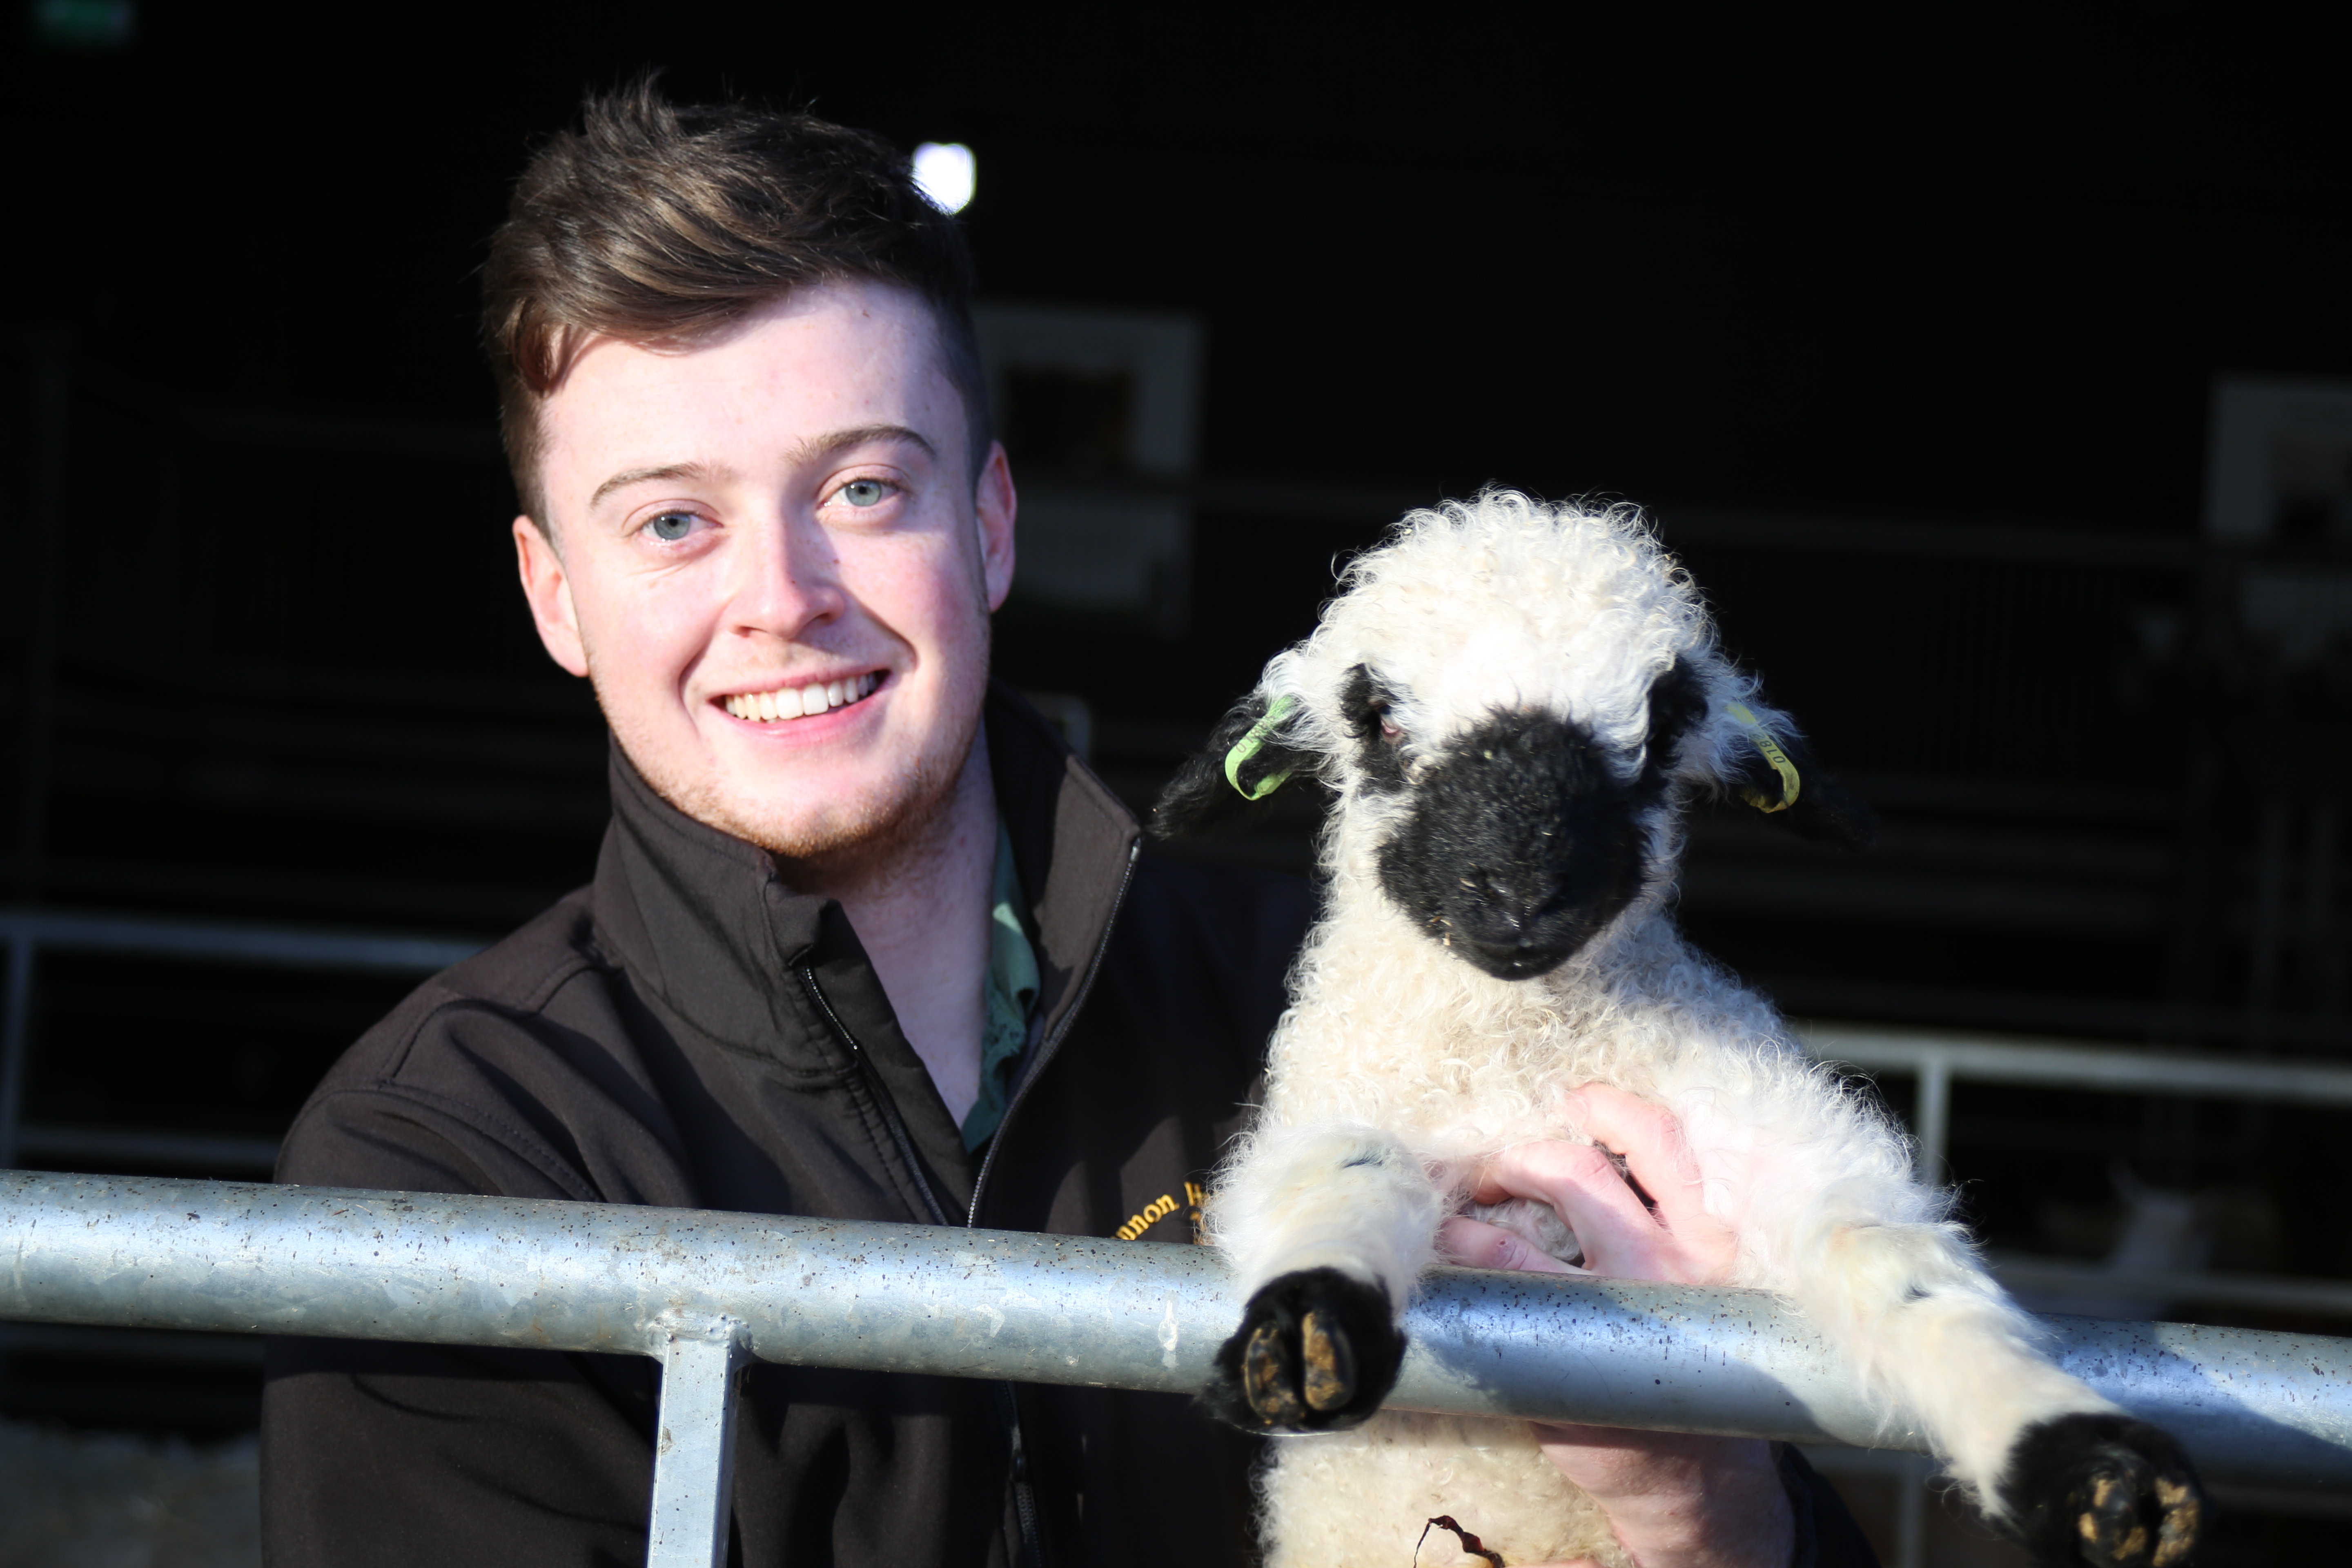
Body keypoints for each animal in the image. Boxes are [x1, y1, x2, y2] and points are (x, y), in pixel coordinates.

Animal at [1157, 496, 2201, 1568]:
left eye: (1659, 731)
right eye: (1383, 718)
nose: (1521, 895)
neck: (1522, 1057)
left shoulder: (1761, 1128)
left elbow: (1887, 1262)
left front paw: (2085, 1464)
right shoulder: (1344, 1104)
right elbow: (1334, 1186)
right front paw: (1309, 1328)